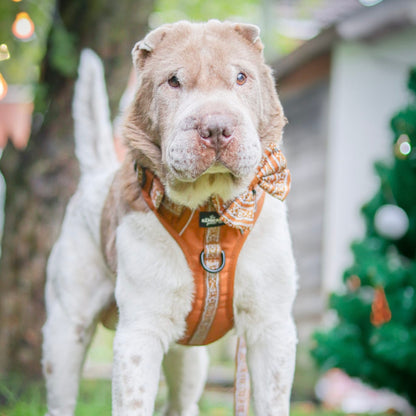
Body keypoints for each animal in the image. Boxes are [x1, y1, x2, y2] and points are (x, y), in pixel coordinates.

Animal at [42, 20, 298, 416]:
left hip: (189, 359)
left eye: (241, 77)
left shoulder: (272, 328)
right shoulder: (139, 333)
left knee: (179, 402)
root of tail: (96, 176)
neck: (212, 213)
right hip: (66, 330)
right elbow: (133, 402)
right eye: (173, 81)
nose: (216, 127)